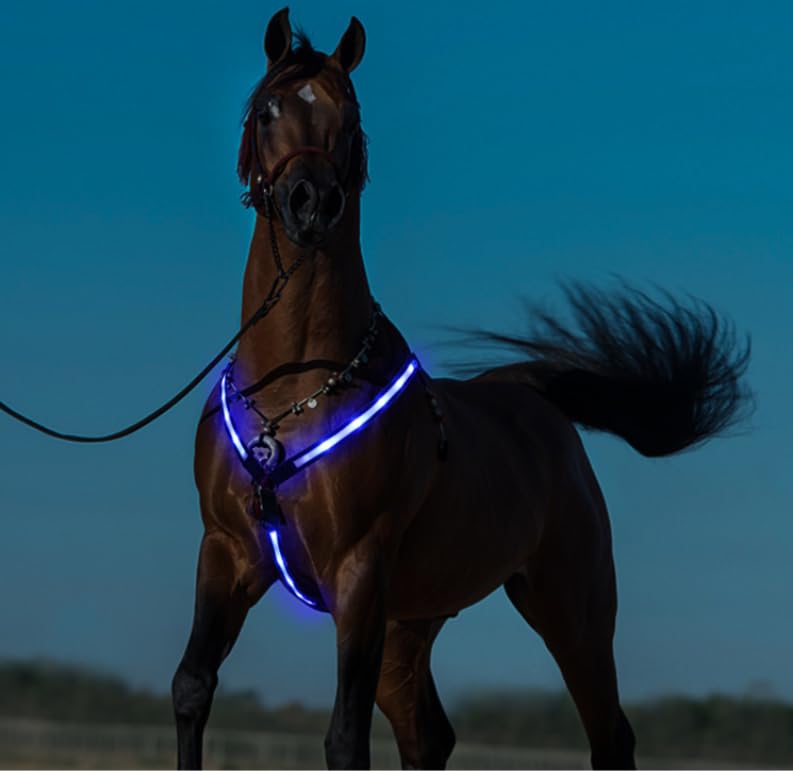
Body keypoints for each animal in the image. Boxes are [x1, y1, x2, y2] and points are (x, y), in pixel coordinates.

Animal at [171, 9, 751, 769]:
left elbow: (343, 736)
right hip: (411, 619)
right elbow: (193, 687)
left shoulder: (357, 569)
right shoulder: (228, 552)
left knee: (609, 732)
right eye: (268, 110)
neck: (291, 394)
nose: (311, 203)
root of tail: (531, 397)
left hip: (569, 606)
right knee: (429, 735)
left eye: (348, 116)